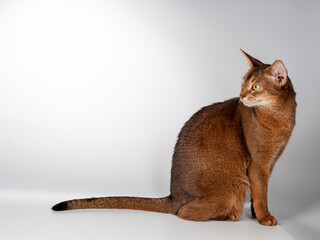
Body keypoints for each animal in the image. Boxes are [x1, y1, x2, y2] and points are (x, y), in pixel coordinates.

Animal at [51, 49, 296, 226]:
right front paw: (265, 218)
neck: (281, 116)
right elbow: (261, 193)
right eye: (243, 84)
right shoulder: (258, 164)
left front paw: (256, 214)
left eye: (255, 86)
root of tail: (174, 196)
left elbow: (258, 193)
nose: (241, 96)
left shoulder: (270, 163)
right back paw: (229, 215)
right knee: (183, 212)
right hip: (234, 185)